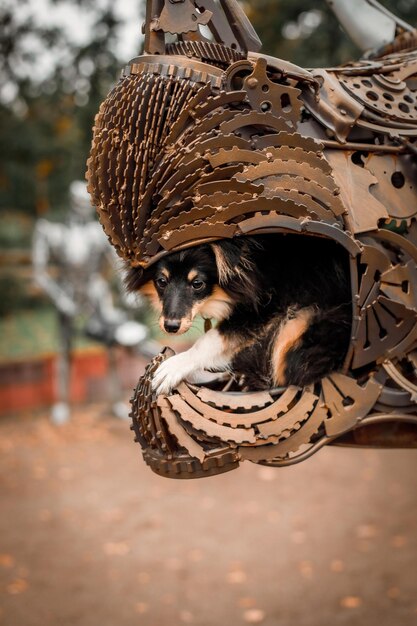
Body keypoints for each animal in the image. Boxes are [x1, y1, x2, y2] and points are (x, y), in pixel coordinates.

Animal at [126, 232, 352, 392]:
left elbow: (210, 339)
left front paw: (175, 366)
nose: (171, 327)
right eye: (161, 281)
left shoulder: (267, 305)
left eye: (197, 283)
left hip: (298, 328)